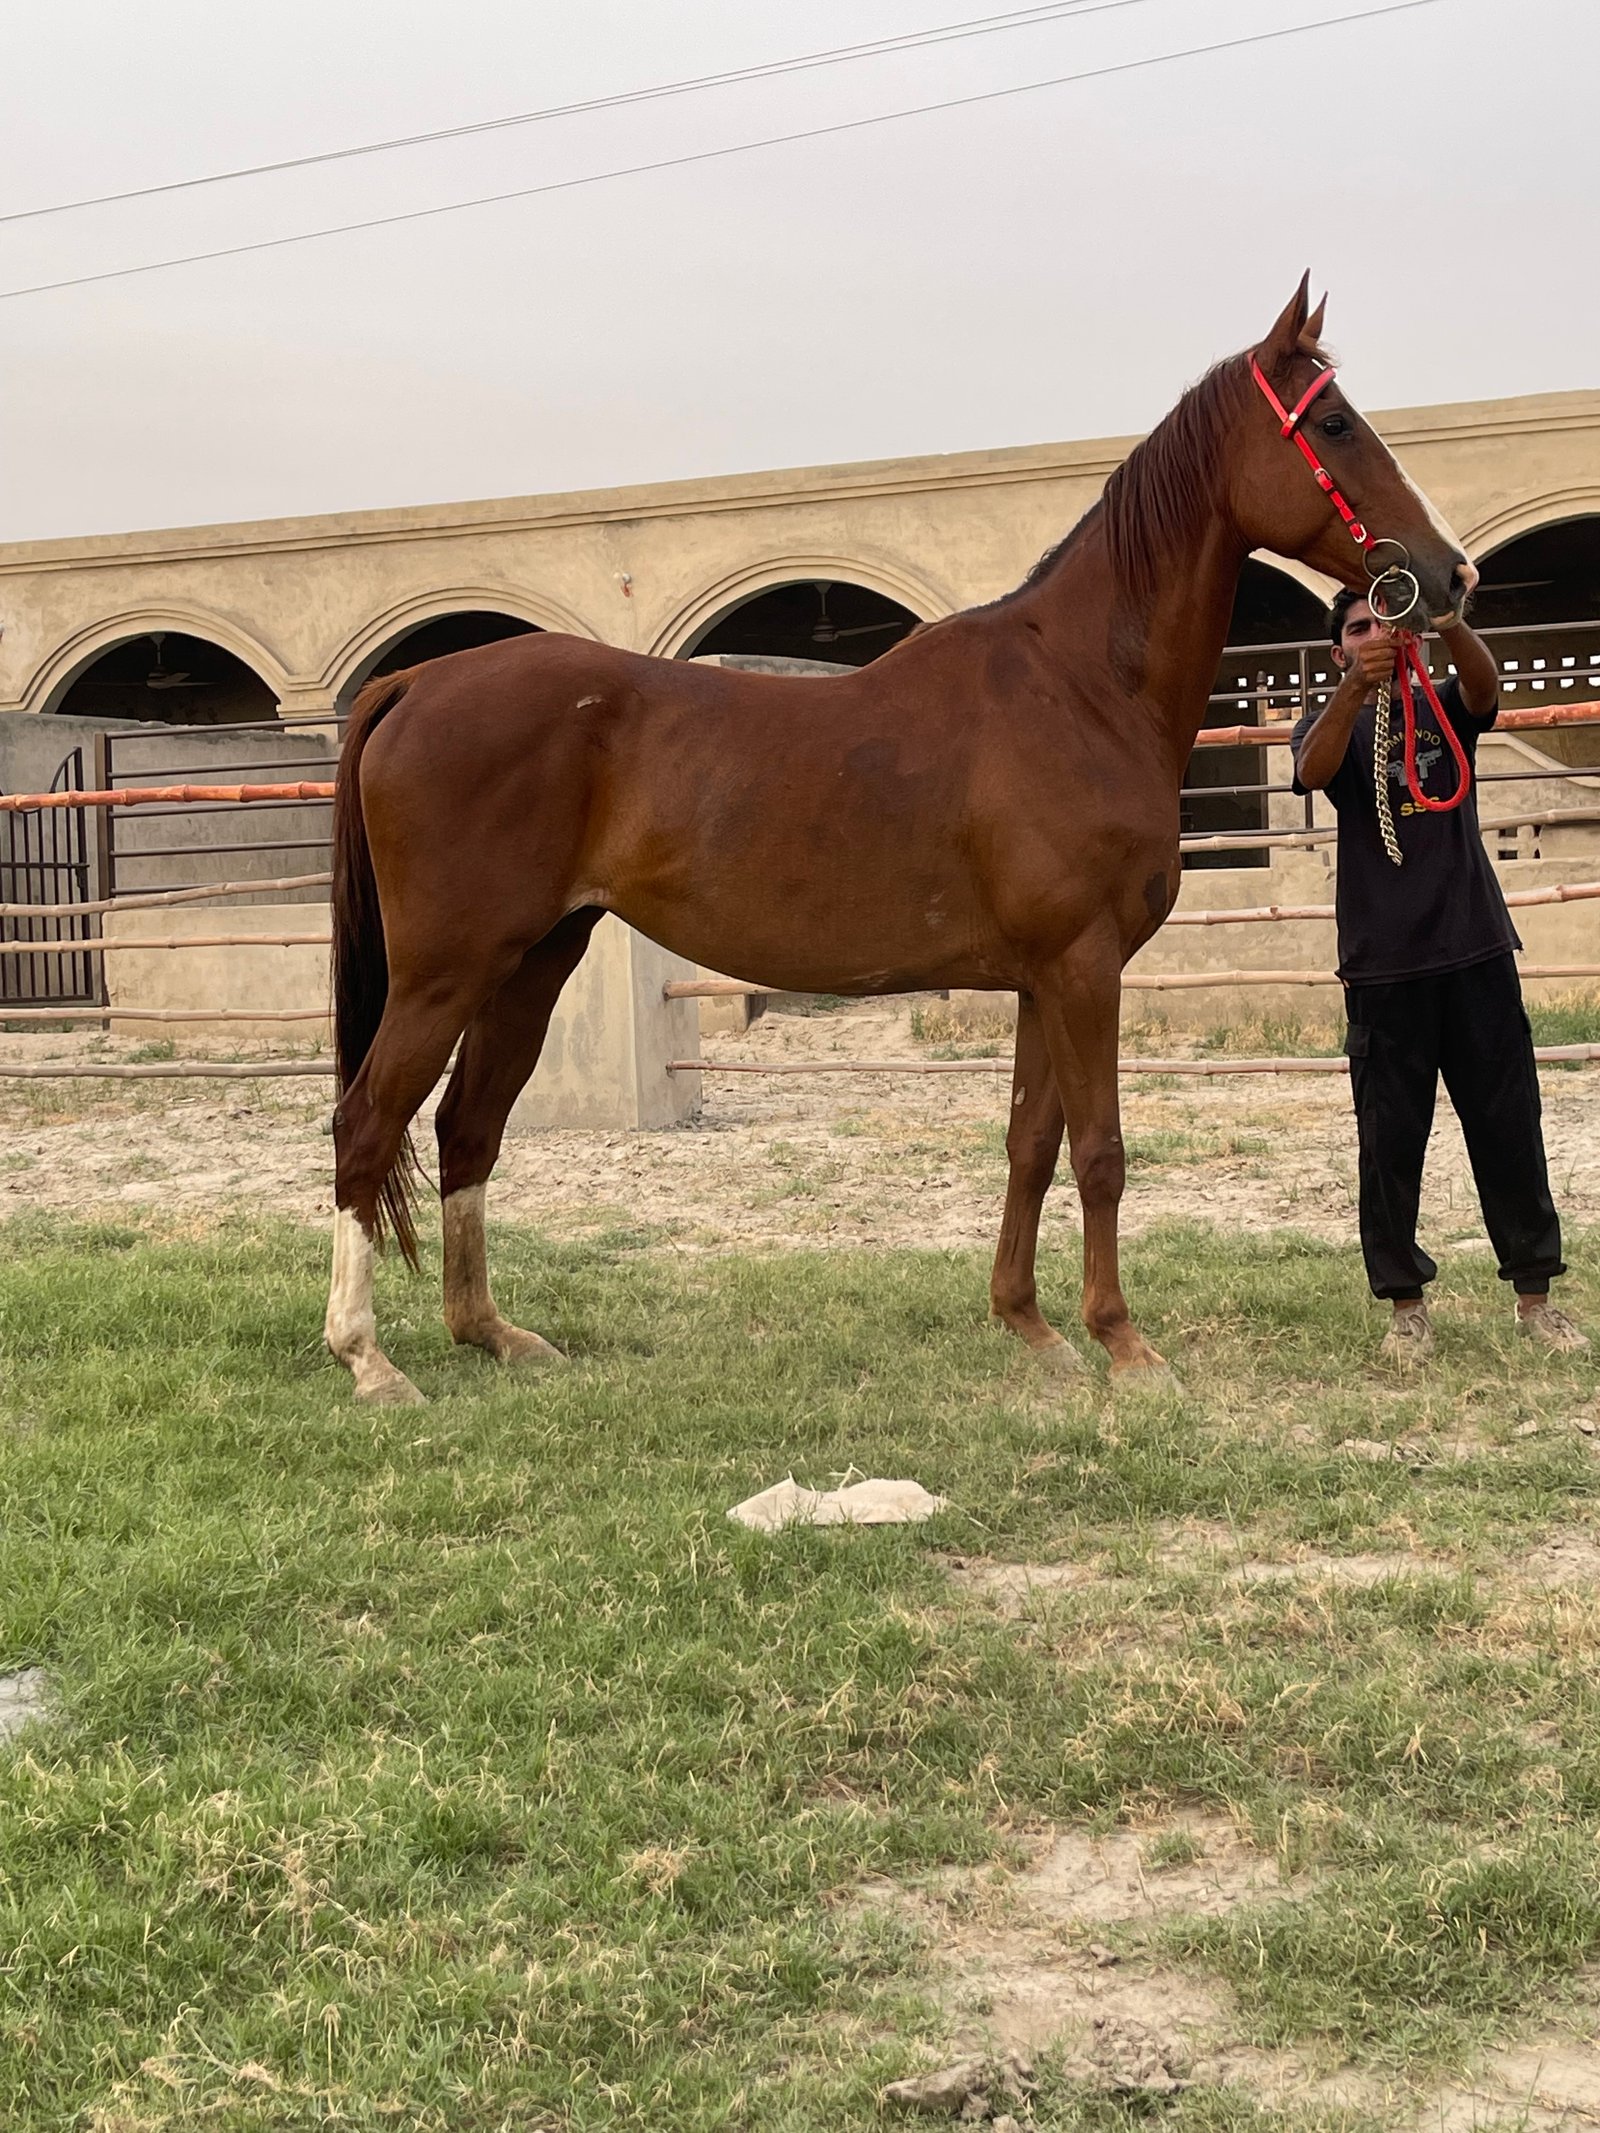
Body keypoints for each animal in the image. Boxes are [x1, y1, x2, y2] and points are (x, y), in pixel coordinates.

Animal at [324, 277, 1475, 1405]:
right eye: (1333, 422)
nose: (1450, 574)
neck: (1080, 687)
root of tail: (415, 680)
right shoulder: (1083, 967)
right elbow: (1100, 1152)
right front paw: (1125, 1346)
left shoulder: (1044, 976)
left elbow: (1030, 1144)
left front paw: (1032, 1329)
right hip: (447, 971)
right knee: (366, 1122)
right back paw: (369, 1360)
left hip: (531, 963)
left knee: (467, 1127)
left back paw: (491, 1334)